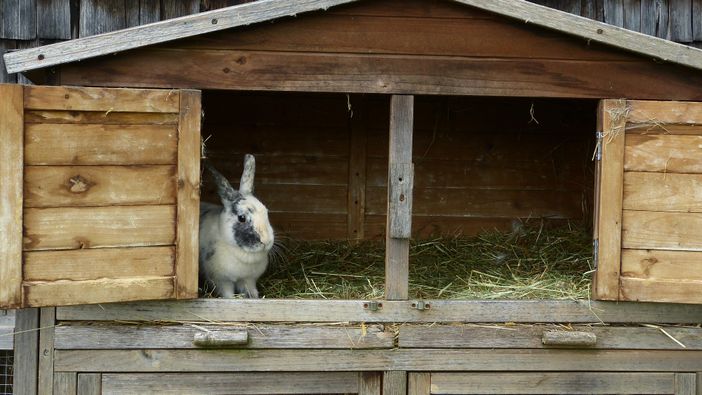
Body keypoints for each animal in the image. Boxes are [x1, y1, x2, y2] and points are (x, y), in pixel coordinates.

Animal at [201, 156, 276, 298]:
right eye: (242, 218)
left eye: (266, 211)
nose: (266, 241)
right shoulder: (222, 281)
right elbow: (228, 294)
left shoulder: (248, 280)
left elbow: (251, 291)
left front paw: (255, 297)